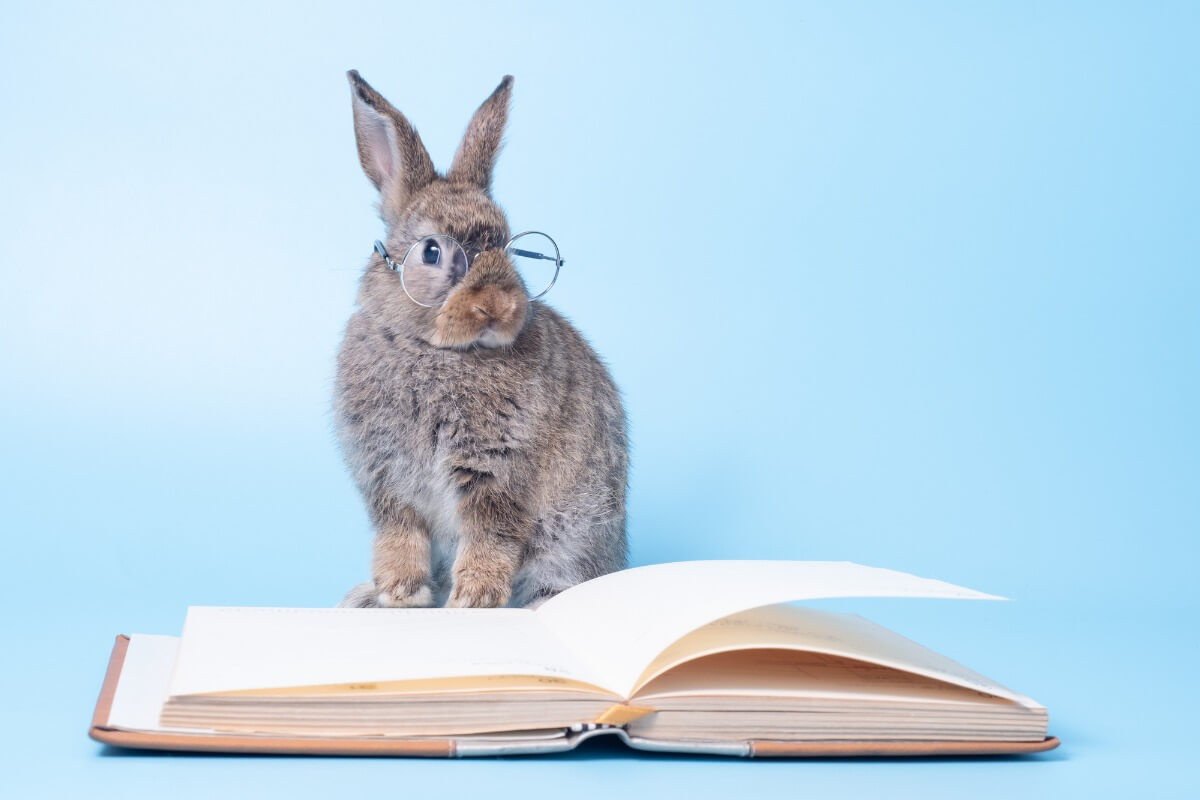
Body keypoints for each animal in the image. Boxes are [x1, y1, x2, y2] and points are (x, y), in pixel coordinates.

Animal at [334, 71, 628, 609]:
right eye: (432, 252)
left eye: (511, 248)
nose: (498, 307)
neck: (433, 350)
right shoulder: (388, 479)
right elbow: (400, 536)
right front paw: (399, 594)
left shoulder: (497, 471)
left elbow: (490, 535)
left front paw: (473, 600)